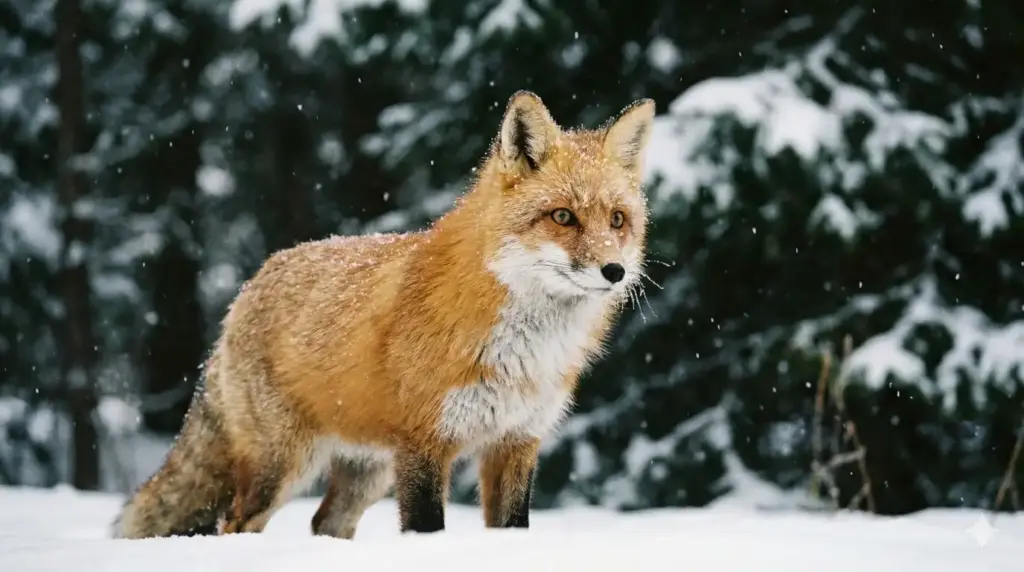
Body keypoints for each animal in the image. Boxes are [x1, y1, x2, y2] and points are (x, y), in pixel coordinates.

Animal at [112, 90, 656, 540]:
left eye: (617, 220)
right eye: (563, 216)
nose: (614, 271)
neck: (525, 348)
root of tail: (247, 289)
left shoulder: (516, 442)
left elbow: (511, 528)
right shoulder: (423, 444)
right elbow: (426, 530)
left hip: (366, 472)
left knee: (324, 523)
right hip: (281, 465)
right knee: (235, 524)